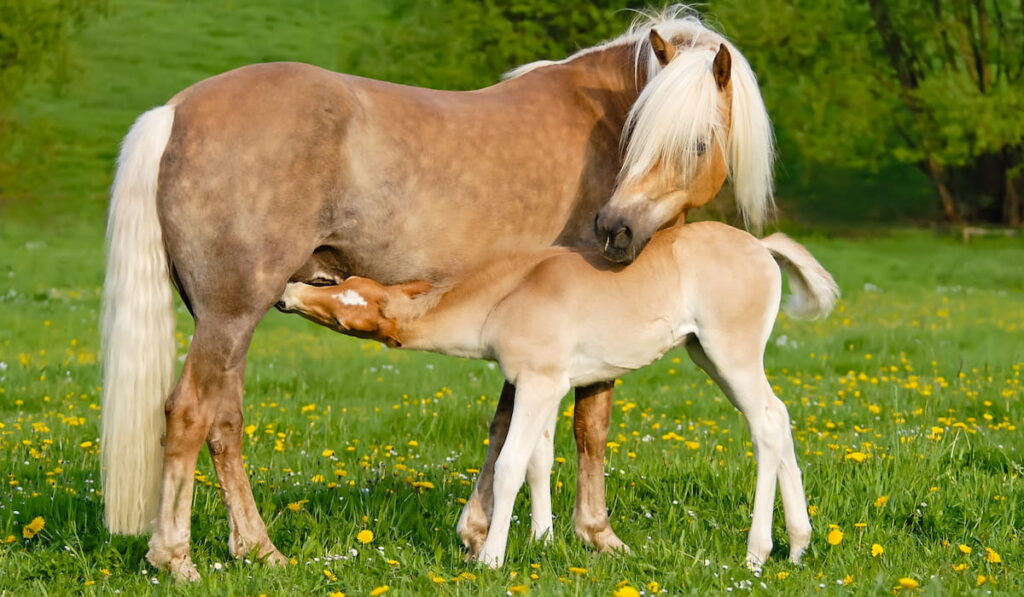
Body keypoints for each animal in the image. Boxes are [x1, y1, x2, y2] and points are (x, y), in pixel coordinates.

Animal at [103, 7, 770, 581]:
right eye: (640, 137)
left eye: (696, 144)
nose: (616, 231)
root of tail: (175, 111)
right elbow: (589, 424)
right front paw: (596, 536)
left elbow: (508, 426)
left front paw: (479, 533)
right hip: (231, 314)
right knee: (190, 414)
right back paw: (176, 557)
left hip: (227, 320)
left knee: (224, 420)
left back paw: (258, 549)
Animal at [276, 219, 835, 569]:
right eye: (344, 283)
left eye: (348, 312)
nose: (286, 293)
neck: (507, 296)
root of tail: (762, 246)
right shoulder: (546, 386)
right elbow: (538, 461)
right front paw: (542, 542)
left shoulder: (538, 383)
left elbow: (508, 464)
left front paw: (492, 557)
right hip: (707, 355)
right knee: (779, 416)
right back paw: (799, 545)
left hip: (730, 353)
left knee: (765, 424)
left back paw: (757, 553)